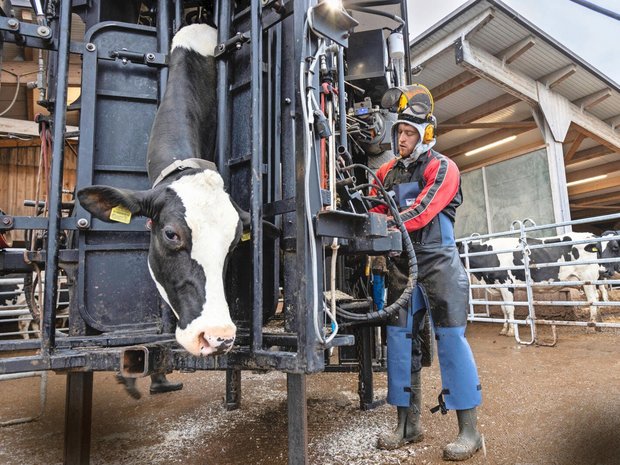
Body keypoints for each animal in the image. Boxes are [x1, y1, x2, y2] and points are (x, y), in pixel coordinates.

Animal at [460, 231, 620, 336]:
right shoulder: (498, 287)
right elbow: (504, 309)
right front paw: (504, 329)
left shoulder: (507, 285)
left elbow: (510, 309)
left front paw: (511, 331)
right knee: (597, 299)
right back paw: (597, 325)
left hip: (588, 279)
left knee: (592, 300)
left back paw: (591, 327)